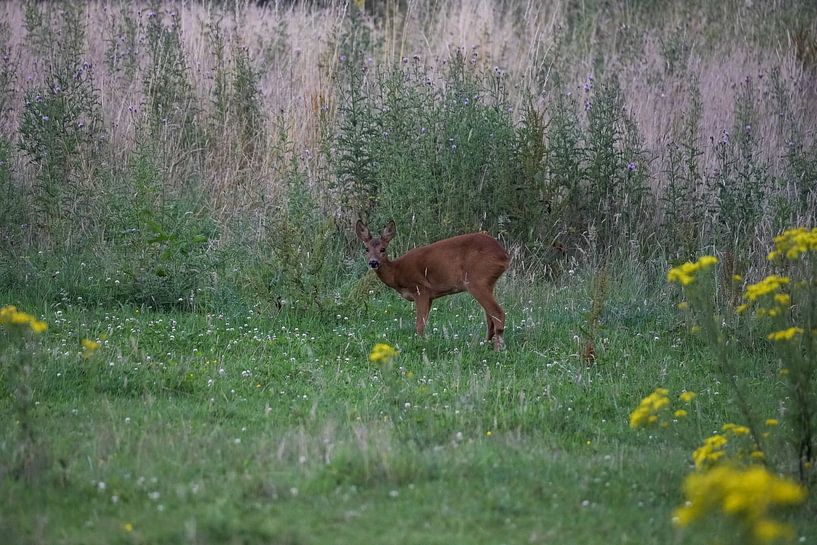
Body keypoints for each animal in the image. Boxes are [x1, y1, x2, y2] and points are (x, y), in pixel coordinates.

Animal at [355, 220, 511, 350]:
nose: (373, 262)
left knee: (497, 313)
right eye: (366, 249)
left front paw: (421, 345)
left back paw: (498, 349)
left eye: (383, 249)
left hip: (476, 280)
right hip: (487, 283)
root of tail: (504, 255)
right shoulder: (430, 297)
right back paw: (485, 345)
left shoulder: (421, 289)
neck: (396, 272)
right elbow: (423, 323)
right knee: (490, 317)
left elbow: (419, 325)